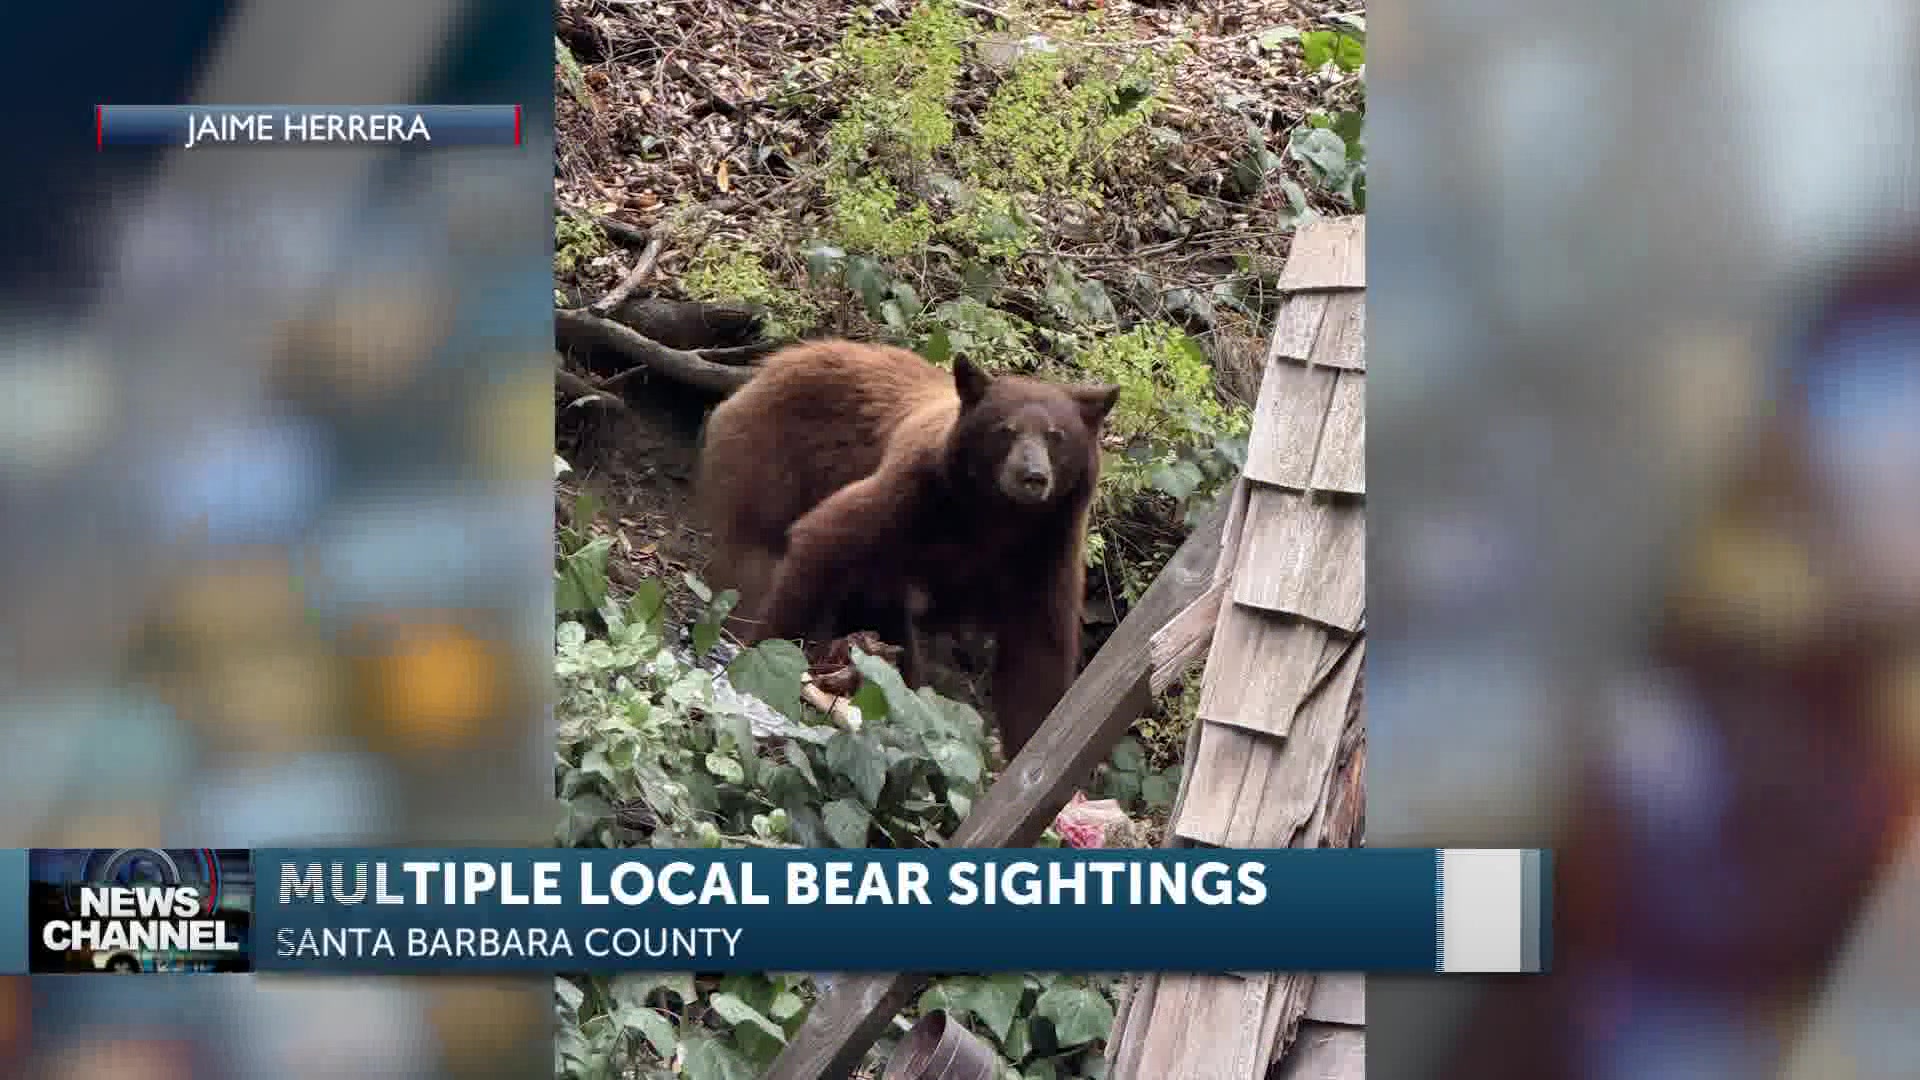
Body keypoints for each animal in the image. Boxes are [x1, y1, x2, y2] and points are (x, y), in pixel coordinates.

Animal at [696, 339, 1120, 759]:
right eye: (1005, 430)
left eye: (1056, 435)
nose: (1032, 476)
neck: (996, 517)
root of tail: (772, 364)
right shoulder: (916, 493)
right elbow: (826, 539)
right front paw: (768, 655)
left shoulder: (1046, 548)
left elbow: (1038, 656)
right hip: (770, 463)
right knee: (751, 562)